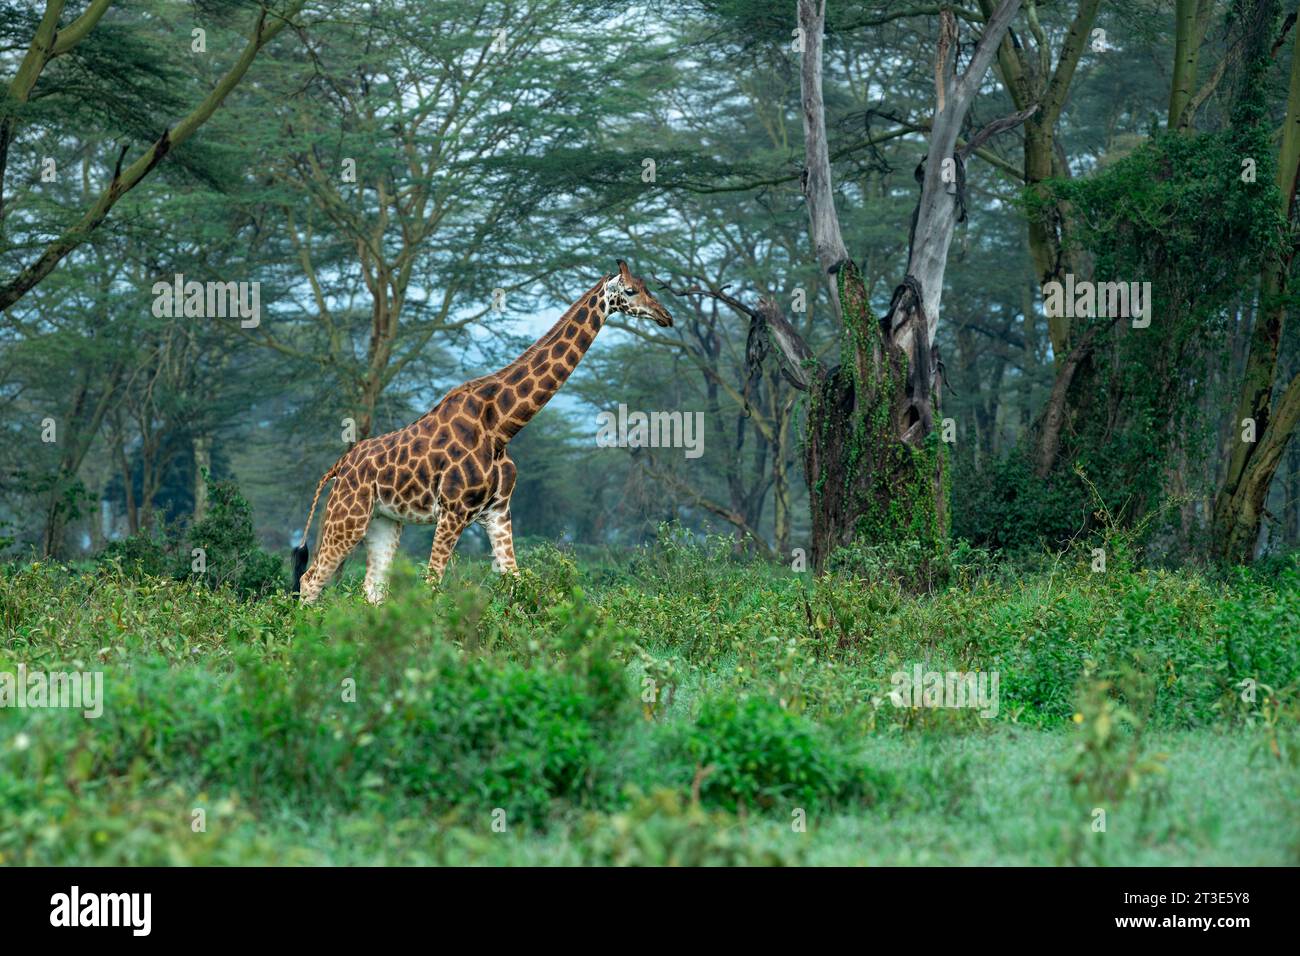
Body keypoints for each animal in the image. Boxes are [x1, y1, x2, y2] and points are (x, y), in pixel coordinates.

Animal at [291, 260, 674, 603]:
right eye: (630, 290)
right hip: (349, 515)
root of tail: (339, 466)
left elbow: (518, 583)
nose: (665, 315)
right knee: (311, 581)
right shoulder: (453, 512)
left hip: (384, 520)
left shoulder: (498, 512)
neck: (501, 427)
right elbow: (431, 586)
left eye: (649, 286)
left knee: (372, 589)